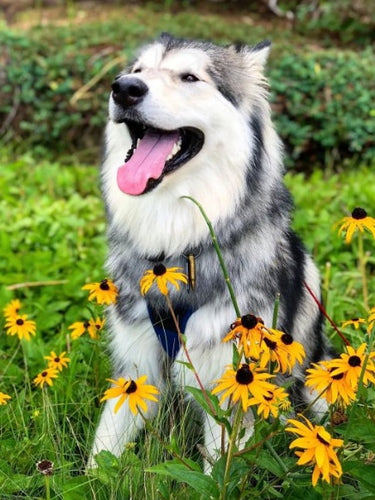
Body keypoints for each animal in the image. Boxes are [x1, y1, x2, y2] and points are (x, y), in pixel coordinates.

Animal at [90, 33, 328, 466]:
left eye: (189, 77)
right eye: (137, 71)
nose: (124, 88)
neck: (175, 246)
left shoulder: (231, 383)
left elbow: (218, 467)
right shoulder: (136, 365)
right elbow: (104, 449)